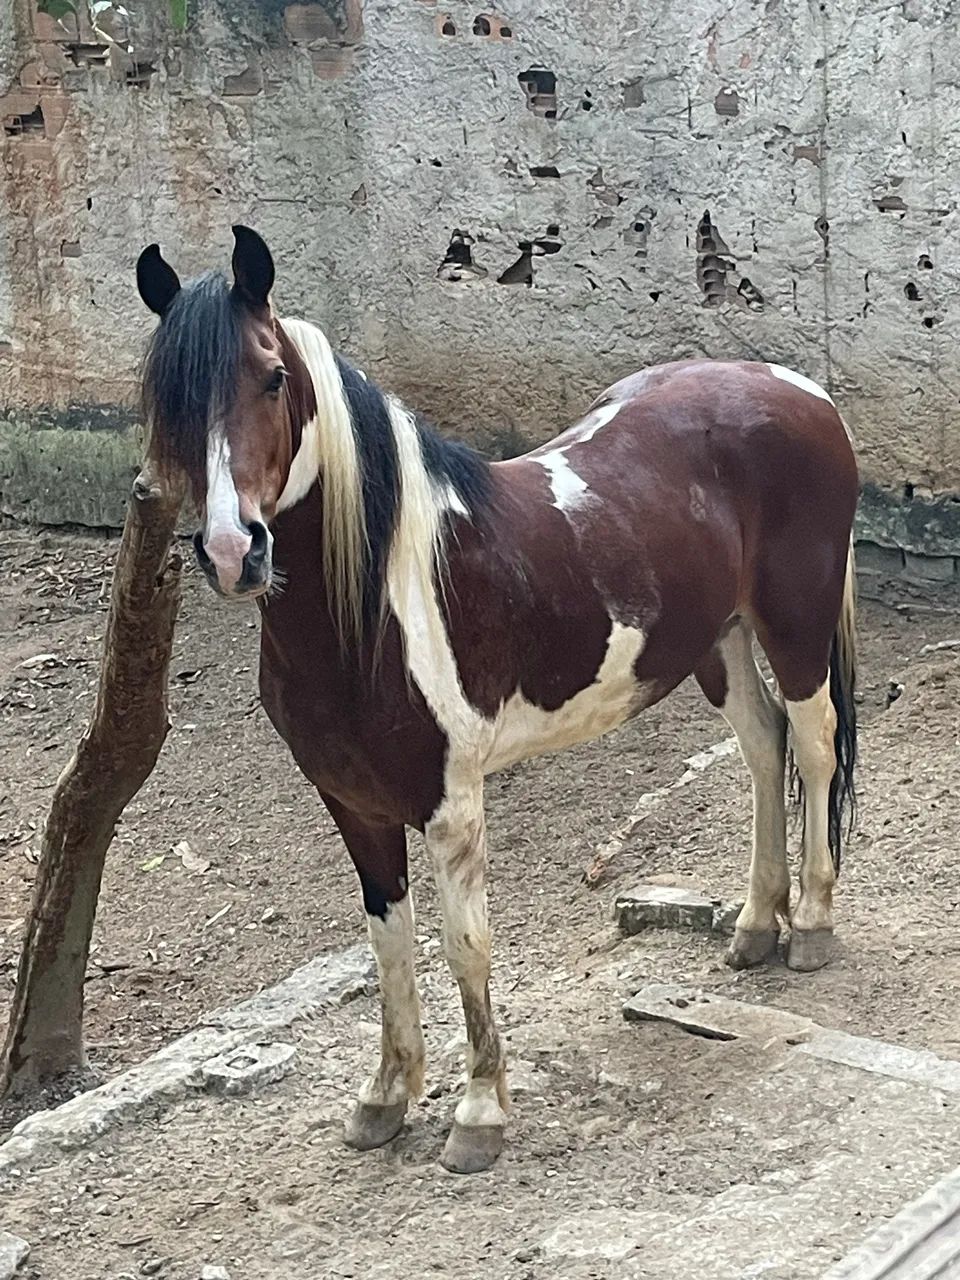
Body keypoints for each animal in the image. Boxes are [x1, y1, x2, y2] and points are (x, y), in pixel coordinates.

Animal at [136, 225, 858, 1174]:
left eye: (272, 378)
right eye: (169, 400)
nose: (233, 551)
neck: (376, 605)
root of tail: (797, 388)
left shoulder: (451, 806)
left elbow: (465, 946)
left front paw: (480, 1113)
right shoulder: (351, 803)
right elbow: (389, 945)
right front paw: (384, 1097)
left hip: (793, 625)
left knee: (813, 742)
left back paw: (809, 923)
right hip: (721, 640)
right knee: (763, 746)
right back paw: (753, 926)